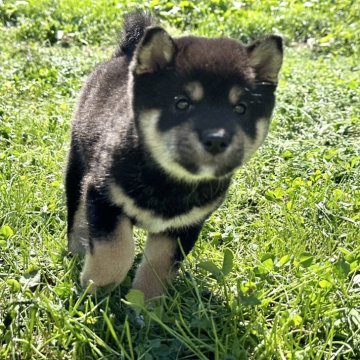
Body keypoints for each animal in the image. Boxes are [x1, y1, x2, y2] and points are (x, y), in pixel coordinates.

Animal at [65, 11, 284, 300]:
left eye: (240, 109)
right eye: (182, 103)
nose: (217, 139)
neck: (168, 181)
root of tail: (124, 54)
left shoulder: (184, 227)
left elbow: (160, 265)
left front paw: (145, 303)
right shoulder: (103, 196)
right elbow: (115, 251)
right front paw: (97, 288)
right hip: (78, 166)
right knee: (76, 211)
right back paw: (78, 247)